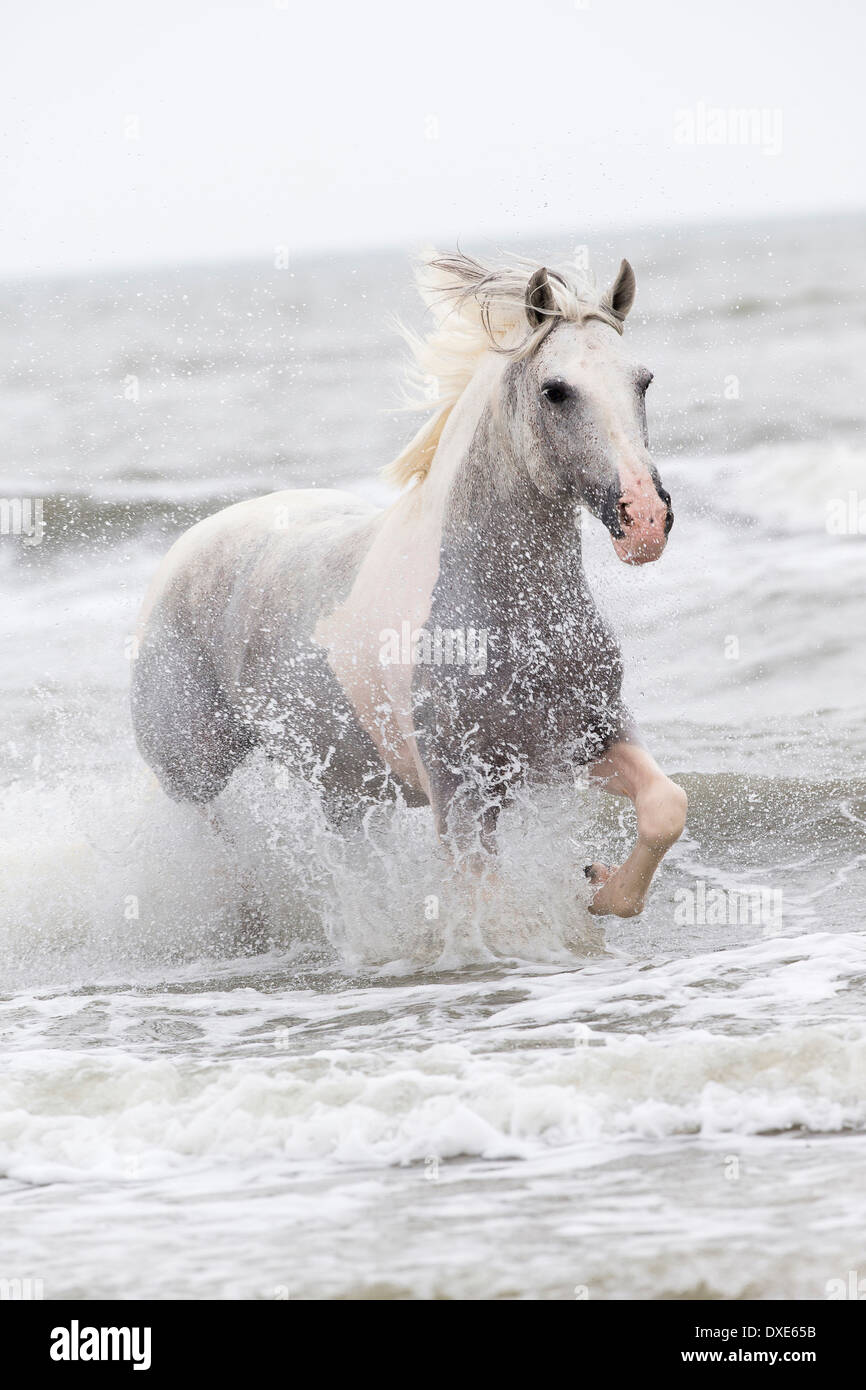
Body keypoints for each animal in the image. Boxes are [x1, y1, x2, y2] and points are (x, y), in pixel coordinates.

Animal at [134, 251, 692, 917]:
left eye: (644, 381)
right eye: (555, 390)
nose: (646, 520)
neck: (506, 617)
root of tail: (181, 552)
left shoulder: (586, 736)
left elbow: (666, 806)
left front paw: (602, 888)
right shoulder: (460, 791)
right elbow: (484, 900)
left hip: (346, 790)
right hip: (194, 772)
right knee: (213, 841)